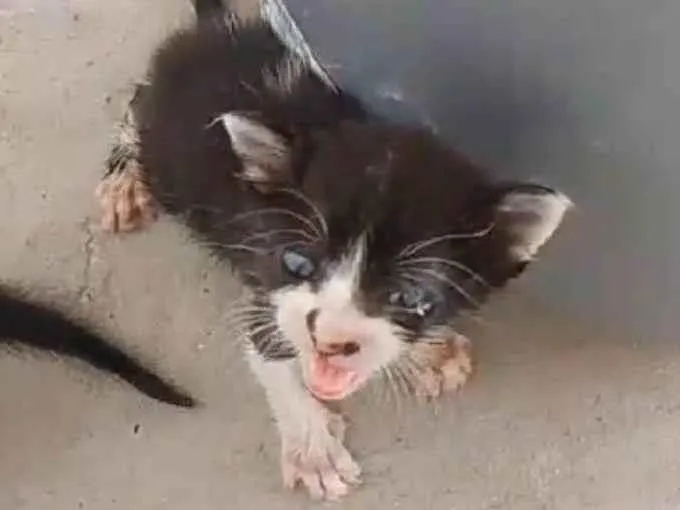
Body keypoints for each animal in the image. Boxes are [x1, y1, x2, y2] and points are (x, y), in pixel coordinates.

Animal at [98, 0, 572, 500]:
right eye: (297, 262)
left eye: (408, 296)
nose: (328, 340)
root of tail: (213, 30)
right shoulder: (260, 256)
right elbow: (266, 333)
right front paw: (312, 446)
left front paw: (424, 354)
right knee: (137, 106)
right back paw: (124, 179)